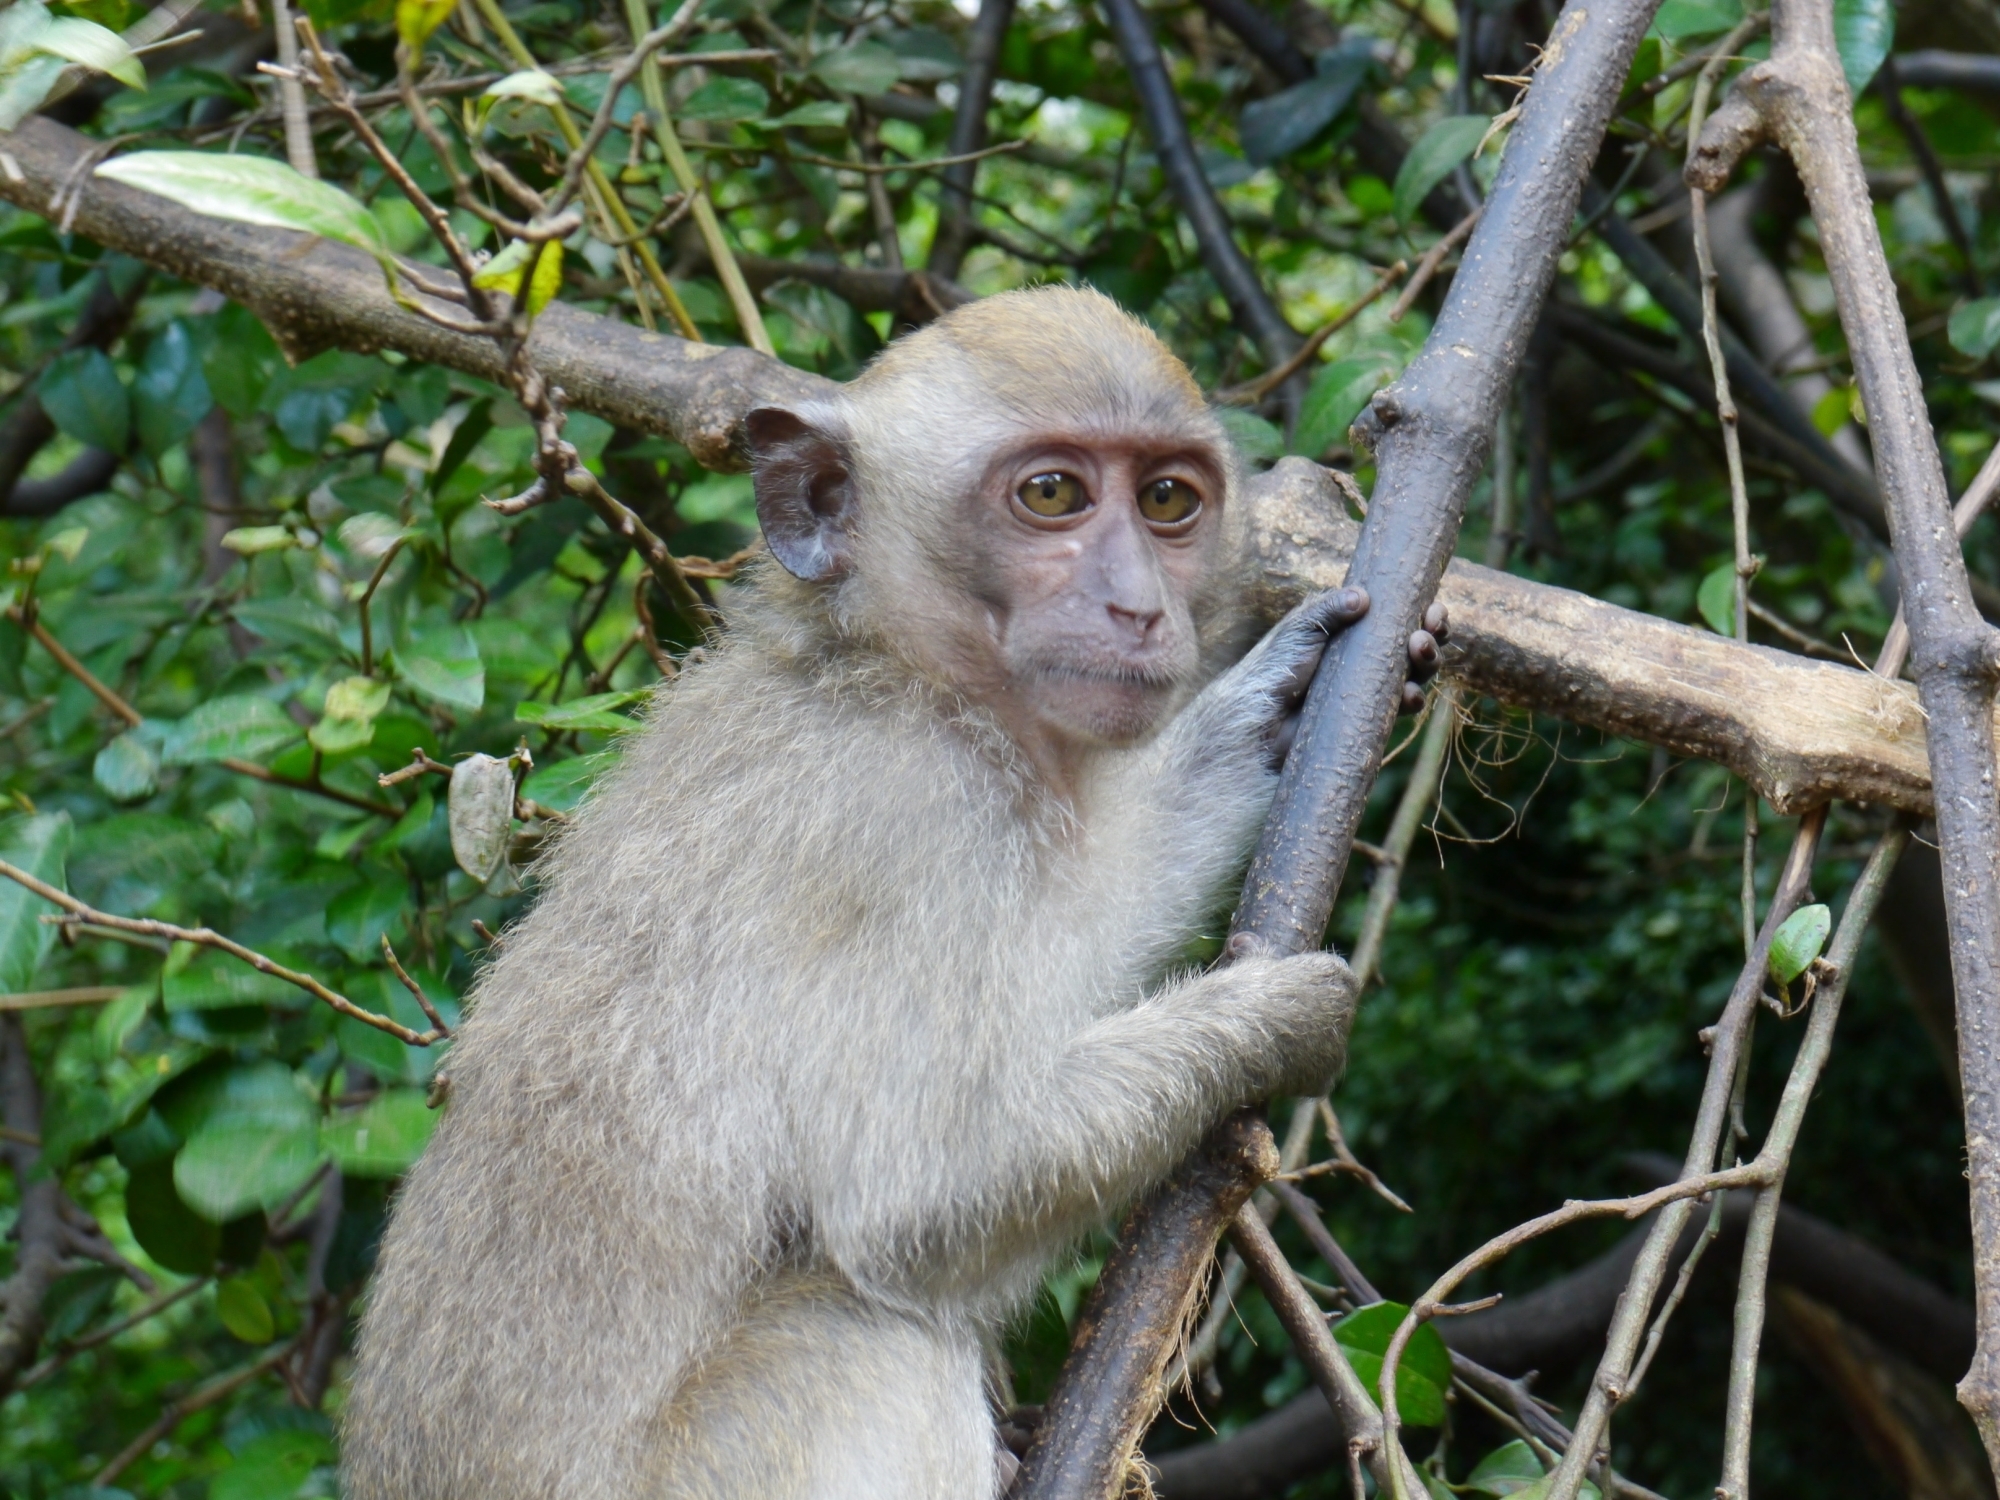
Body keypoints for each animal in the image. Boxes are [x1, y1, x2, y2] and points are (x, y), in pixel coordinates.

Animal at [341, 285, 1441, 1500]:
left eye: (1167, 500)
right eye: (1051, 495)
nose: (1140, 609)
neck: (884, 667)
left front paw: (1267, 709)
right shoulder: (906, 819)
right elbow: (915, 1193)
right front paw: (1274, 1021)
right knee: (862, 1334)